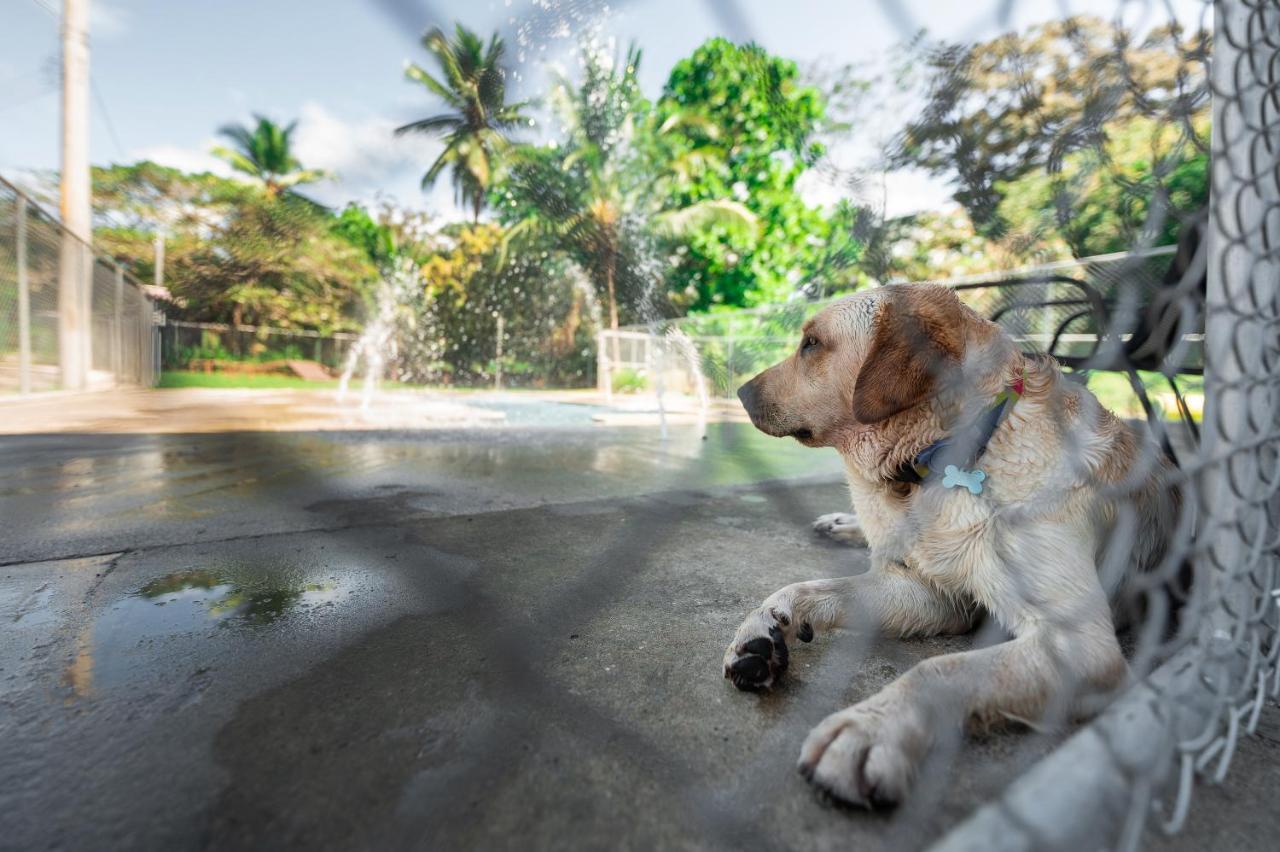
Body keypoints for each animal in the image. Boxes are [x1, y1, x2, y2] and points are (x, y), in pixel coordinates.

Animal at [727, 281, 1172, 808]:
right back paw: (843, 523)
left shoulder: (1080, 645)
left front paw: (871, 727)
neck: (958, 448)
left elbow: (940, 670)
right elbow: (814, 587)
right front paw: (765, 624)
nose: (739, 392)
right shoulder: (934, 592)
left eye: (811, 344)